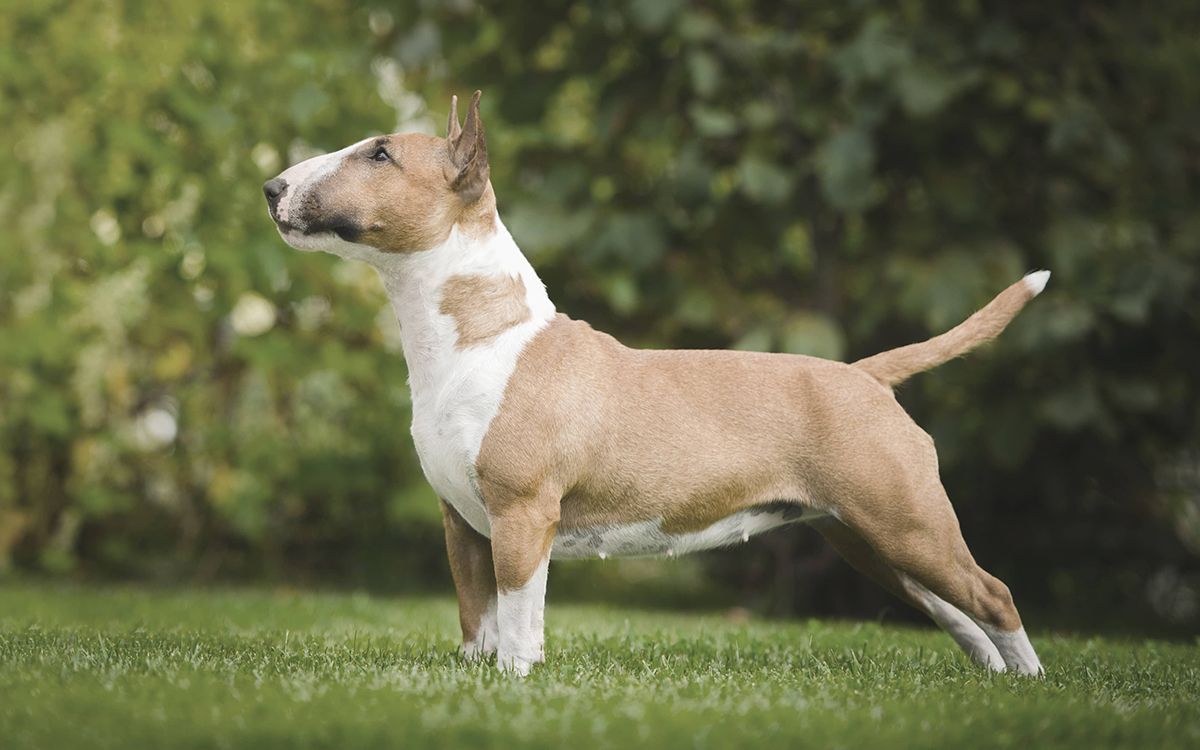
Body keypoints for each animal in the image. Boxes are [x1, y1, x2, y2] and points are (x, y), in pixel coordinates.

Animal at [265, 90, 1051, 676]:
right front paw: (477, 675)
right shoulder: (461, 520)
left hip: (906, 519)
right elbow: (475, 614)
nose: (272, 186)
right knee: (952, 606)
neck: (482, 334)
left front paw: (516, 681)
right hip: (865, 536)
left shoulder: (523, 512)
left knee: (993, 592)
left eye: (380, 153)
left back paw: (1031, 682)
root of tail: (863, 375)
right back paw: (993, 676)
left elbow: (518, 613)